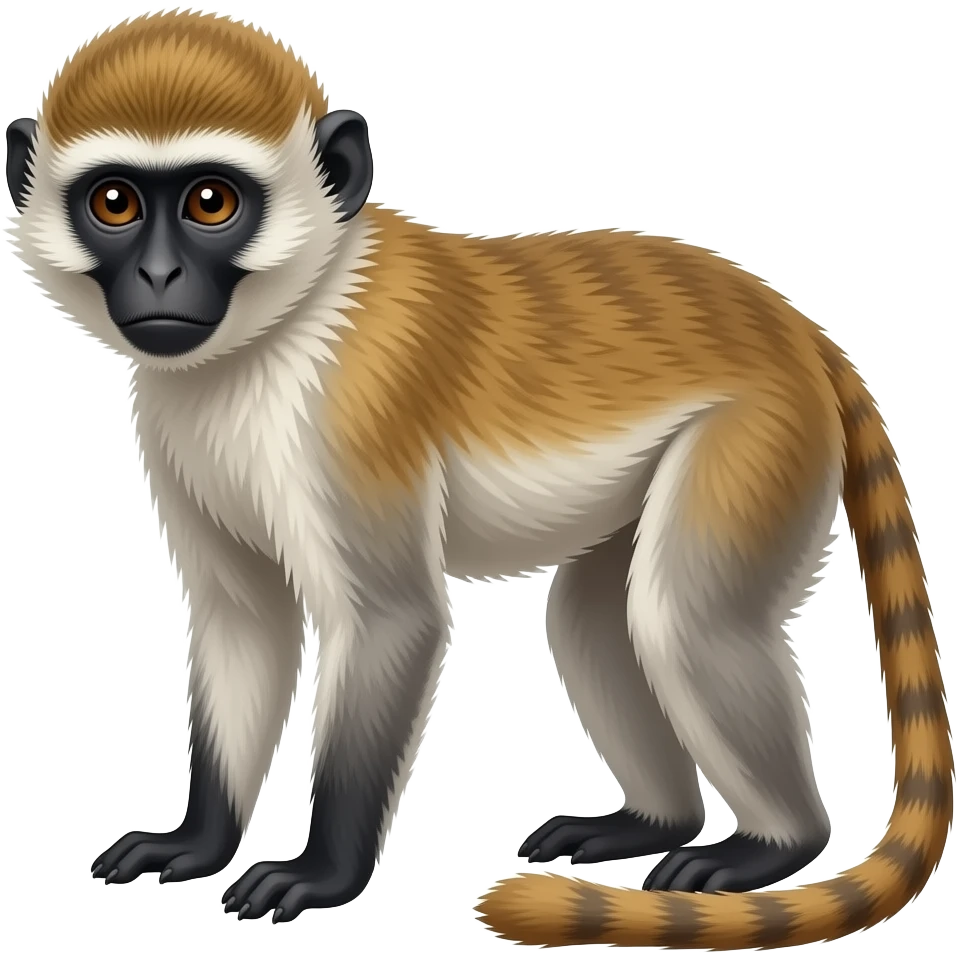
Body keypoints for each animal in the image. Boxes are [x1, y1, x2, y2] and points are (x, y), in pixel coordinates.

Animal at [3, 8, 951, 948]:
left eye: (211, 202)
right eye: (116, 203)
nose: (159, 274)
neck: (276, 329)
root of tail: (798, 330)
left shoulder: (352, 406)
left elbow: (391, 619)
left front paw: (323, 872)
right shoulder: (171, 423)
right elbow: (244, 616)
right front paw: (198, 840)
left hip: (760, 434)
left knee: (683, 618)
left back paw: (775, 843)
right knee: (597, 617)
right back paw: (653, 822)